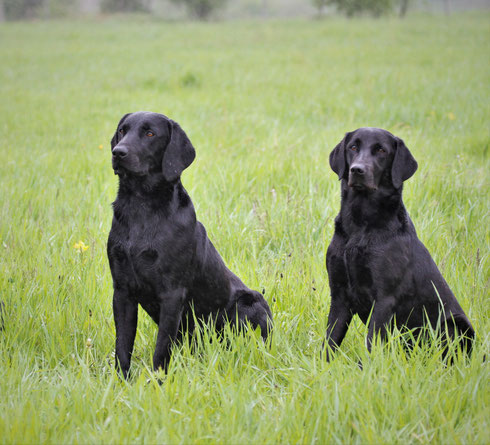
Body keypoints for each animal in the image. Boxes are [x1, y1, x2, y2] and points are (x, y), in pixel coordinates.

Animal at [107, 112, 274, 378]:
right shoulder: (122, 291)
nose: (118, 152)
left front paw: (158, 380)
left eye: (150, 133)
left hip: (250, 301)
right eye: (122, 131)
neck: (141, 207)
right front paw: (121, 381)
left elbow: (161, 348)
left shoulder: (172, 294)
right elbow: (122, 345)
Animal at [326, 126, 474, 360]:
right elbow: (330, 341)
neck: (361, 225)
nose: (357, 170)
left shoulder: (385, 298)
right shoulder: (339, 294)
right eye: (353, 147)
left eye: (381, 150)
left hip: (455, 324)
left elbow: (371, 343)